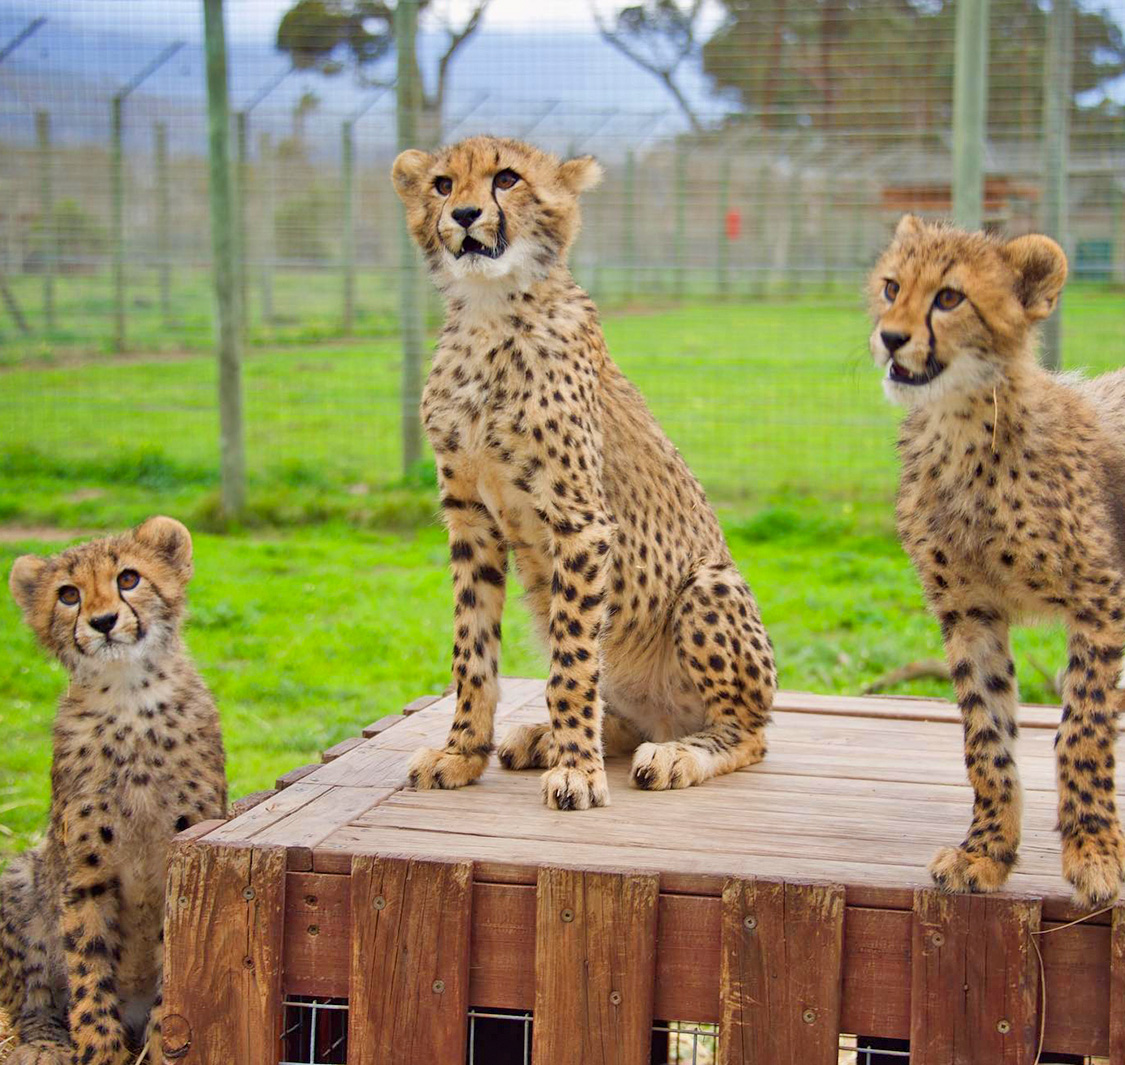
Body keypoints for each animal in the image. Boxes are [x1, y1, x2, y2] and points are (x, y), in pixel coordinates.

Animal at [1, 517, 227, 1064]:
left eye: (128, 579)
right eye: (68, 594)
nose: (103, 621)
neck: (130, 699)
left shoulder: (179, 862)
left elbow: (173, 967)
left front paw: (160, 1045)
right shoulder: (86, 874)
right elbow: (87, 965)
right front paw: (99, 1047)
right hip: (19, 877)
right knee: (31, 995)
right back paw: (43, 1043)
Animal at [391, 135, 776, 811]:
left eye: (507, 178)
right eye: (442, 185)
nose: (464, 215)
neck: (490, 315)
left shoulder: (580, 522)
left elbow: (571, 662)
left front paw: (576, 772)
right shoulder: (470, 519)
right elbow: (473, 652)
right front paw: (461, 754)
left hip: (709, 586)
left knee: (748, 733)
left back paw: (674, 754)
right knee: (617, 715)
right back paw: (543, 738)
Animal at [870, 213, 1125, 908]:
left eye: (950, 298)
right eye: (892, 286)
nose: (891, 337)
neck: (962, 429)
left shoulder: (1102, 601)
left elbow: (1083, 727)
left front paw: (1094, 852)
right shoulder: (969, 611)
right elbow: (985, 736)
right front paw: (985, 852)